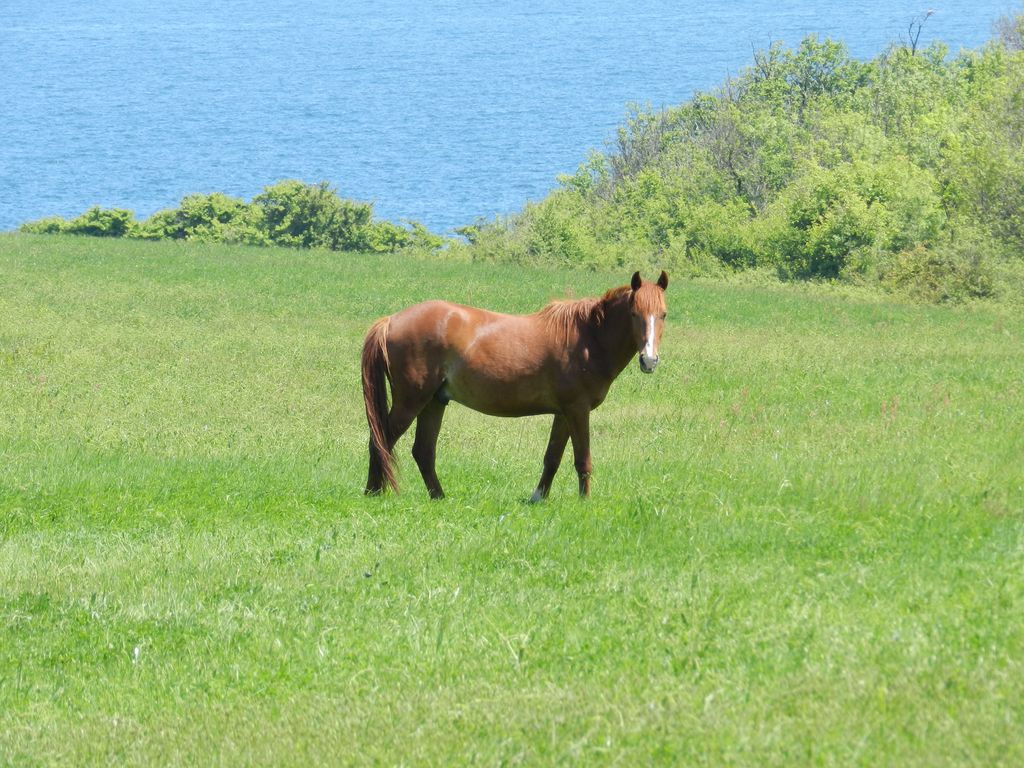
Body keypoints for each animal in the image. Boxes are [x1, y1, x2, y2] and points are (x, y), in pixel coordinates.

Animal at [361, 270, 669, 500]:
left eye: (663, 314)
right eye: (634, 313)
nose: (649, 360)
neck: (588, 338)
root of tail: (390, 321)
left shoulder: (563, 413)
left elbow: (552, 457)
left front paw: (538, 497)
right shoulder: (578, 410)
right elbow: (583, 459)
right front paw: (585, 502)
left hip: (434, 402)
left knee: (423, 451)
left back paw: (438, 496)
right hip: (411, 401)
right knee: (381, 440)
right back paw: (373, 493)